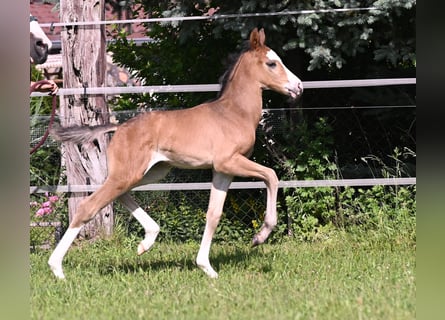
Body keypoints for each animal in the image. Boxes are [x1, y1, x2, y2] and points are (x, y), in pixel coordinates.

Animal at [46, 27, 302, 278]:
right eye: (271, 63)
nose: (298, 87)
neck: (233, 113)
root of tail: (119, 127)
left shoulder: (223, 170)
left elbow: (213, 214)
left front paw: (206, 267)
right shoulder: (230, 162)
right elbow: (271, 175)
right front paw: (260, 236)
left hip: (150, 172)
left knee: (118, 195)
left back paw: (147, 241)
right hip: (129, 174)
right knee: (88, 206)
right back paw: (57, 269)